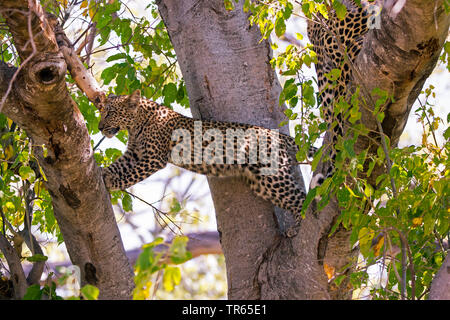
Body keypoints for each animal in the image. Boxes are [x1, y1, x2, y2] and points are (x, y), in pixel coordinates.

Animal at [99, 89, 316, 236]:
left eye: (109, 113)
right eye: (101, 112)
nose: (100, 127)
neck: (136, 124)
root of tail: (277, 134)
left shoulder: (152, 158)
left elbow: (130, 175)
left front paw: (111, 182)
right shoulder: (134, 154)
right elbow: (119, 166)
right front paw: (103, 173)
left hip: (273, 176)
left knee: (302, 198)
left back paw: (298, 228)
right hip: (262, 183)